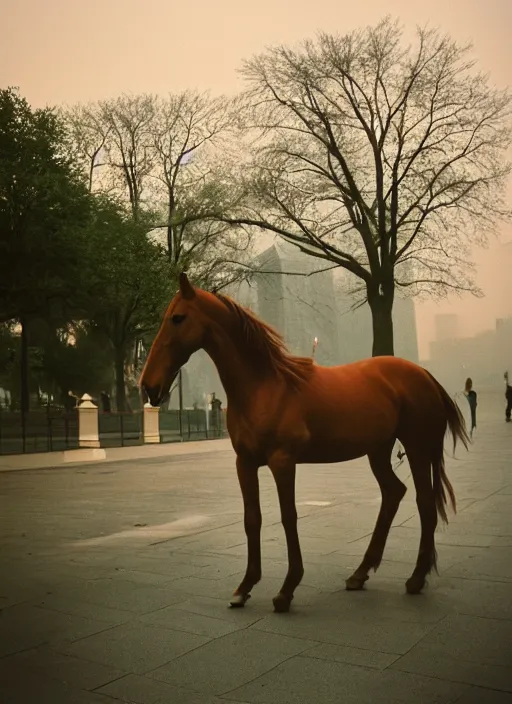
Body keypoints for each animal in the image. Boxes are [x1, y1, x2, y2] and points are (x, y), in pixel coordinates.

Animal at [140, 272, 468, 612]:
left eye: (178, 318)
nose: (149, 386)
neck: (264, 387)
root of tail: (424, 374)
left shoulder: (283, 462)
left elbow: (289, 517)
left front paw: (287, 588)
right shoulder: (245, 463)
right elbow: (252, 519)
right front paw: (244, 587)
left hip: (417, 448)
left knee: (424, 502)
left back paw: (416, 579)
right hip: (378, 451)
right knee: (393, 493)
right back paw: (359, 573)